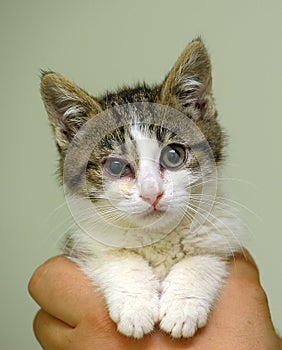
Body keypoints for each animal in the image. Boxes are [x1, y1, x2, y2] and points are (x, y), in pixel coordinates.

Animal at [40, 39, 242, 340]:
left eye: (173, 155)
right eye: (115, 166)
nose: (152, 193)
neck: (158, 237)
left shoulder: (221, 234)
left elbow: (204, 257)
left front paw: (183, 305)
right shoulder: (82, 243)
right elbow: (115, 257)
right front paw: (135, 305)